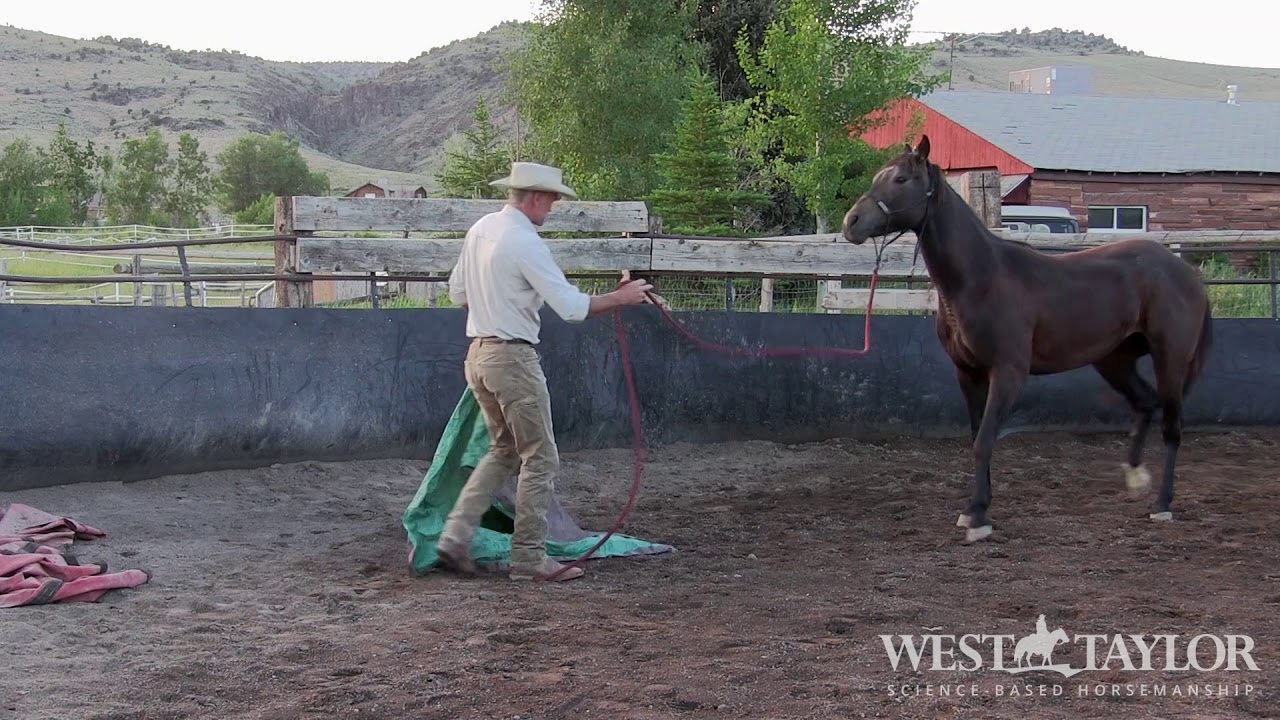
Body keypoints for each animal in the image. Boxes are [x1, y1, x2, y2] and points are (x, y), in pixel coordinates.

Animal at [840, 135, 1213, 543]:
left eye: (901, 179)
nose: (851, 222)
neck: (981, 278)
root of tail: (1187, 273)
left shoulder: (1007, 372)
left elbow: (985, 440)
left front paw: (976, 517)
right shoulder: (968, 374)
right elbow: (978, 438)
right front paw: (979, 507)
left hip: (1170, 358)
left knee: (1172, 427)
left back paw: (1162, 504)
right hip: (1113, 359)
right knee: (1145, 403)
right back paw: (1134, 477)